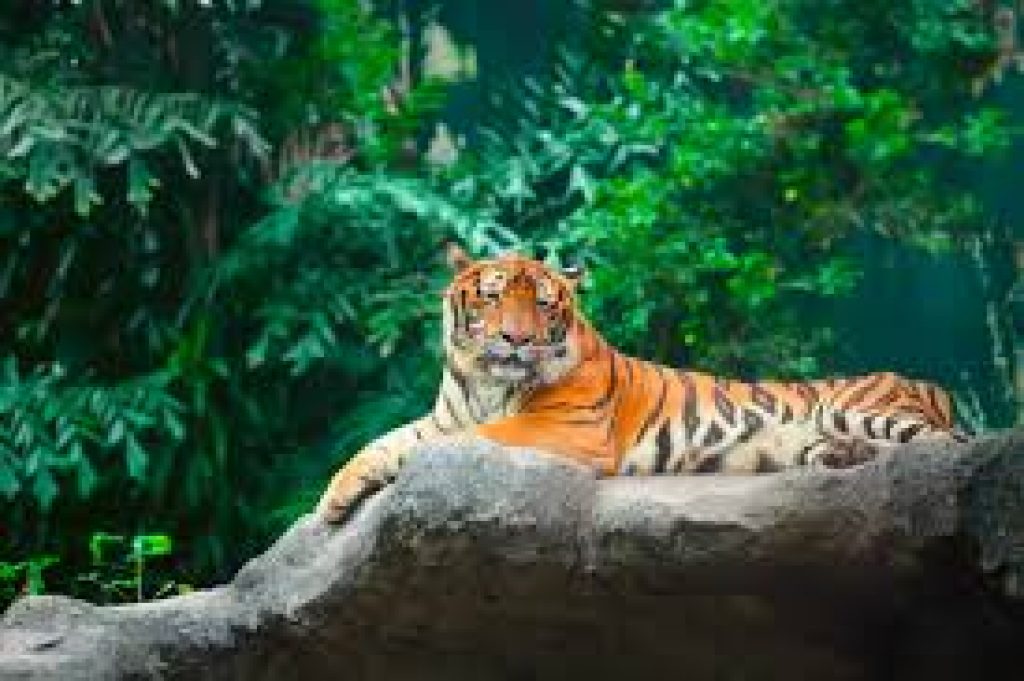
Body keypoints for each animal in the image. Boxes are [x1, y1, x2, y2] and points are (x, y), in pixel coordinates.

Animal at [317, 245, 966, 522]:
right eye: (494, 297)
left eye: (543, 303)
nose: (516, 340)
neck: (486, 383)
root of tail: (927, 381)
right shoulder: (441, 417)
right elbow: (377, 444)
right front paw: (332, 503)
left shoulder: (564, 429)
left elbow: (472, 441)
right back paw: (840, 457)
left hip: (862, 406)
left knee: (946, 447)